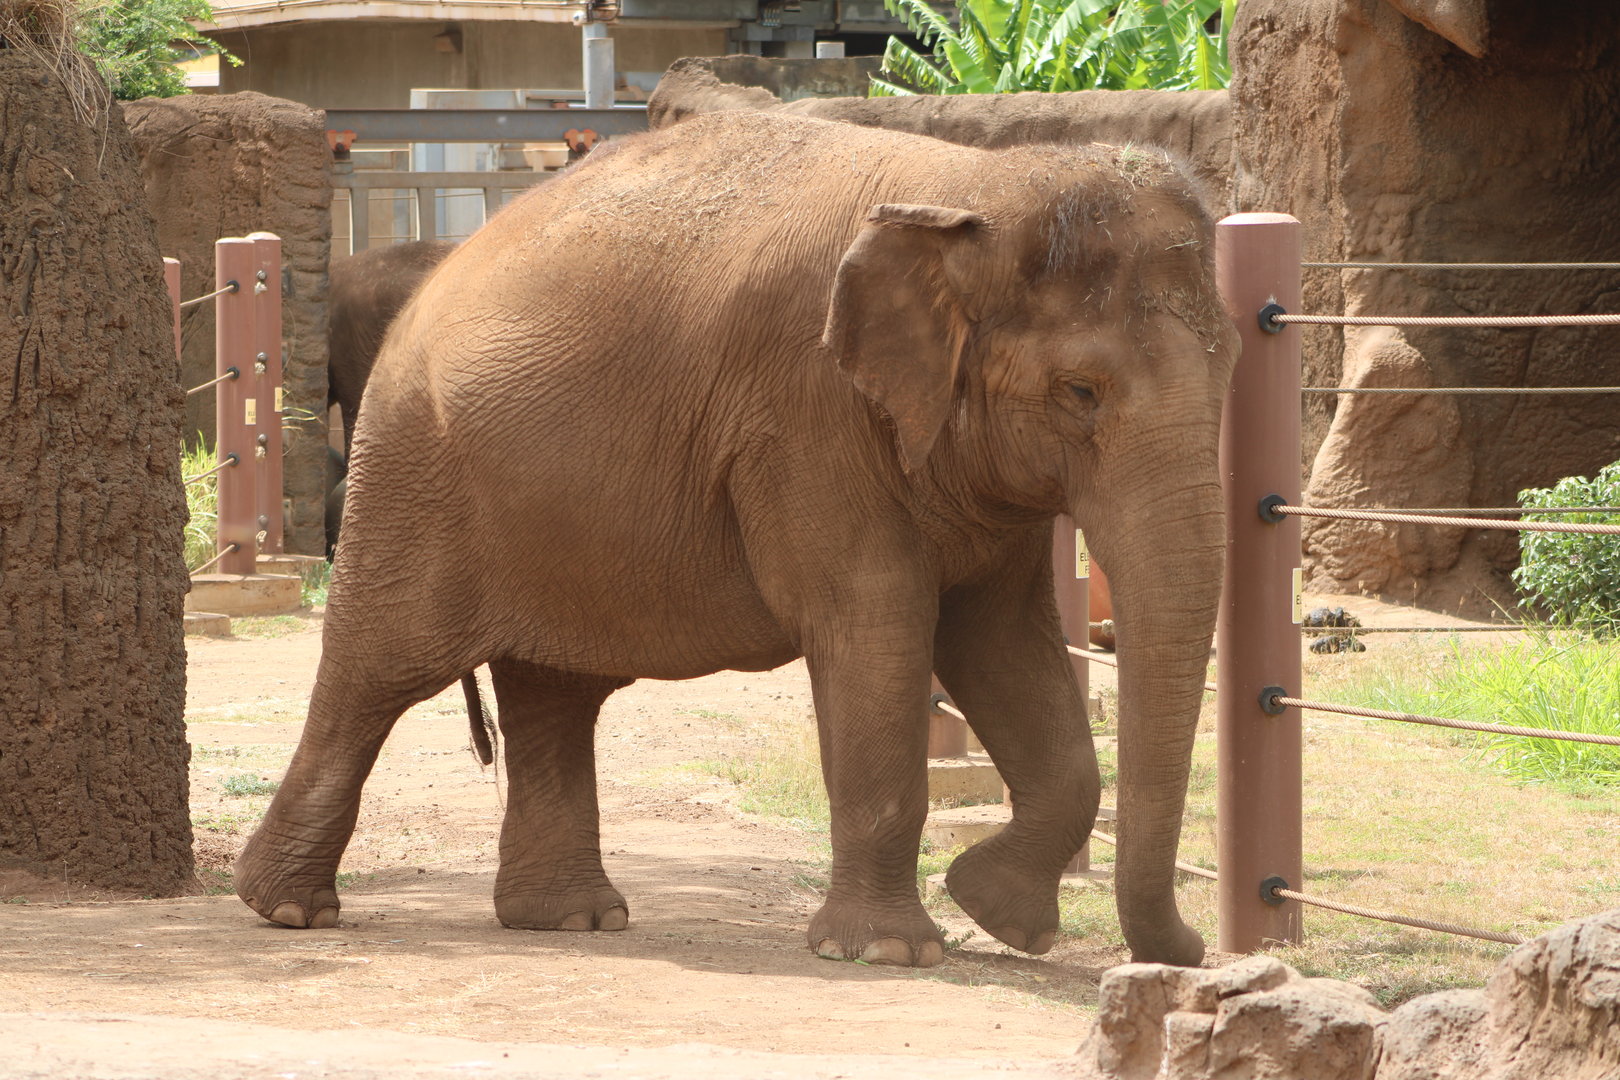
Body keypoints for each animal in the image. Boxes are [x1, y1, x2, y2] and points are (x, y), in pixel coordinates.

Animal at [234, 110, 1238, 969]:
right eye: (1081, 393)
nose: (1191, 952)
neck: (971, 185)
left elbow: (1002, 644)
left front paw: (998, 916)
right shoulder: (805, 413)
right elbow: (876, 626)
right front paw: (891, 953)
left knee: (552, 694)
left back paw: (571, 920)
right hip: (412, 467)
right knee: (378, 669)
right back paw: (282, 907)